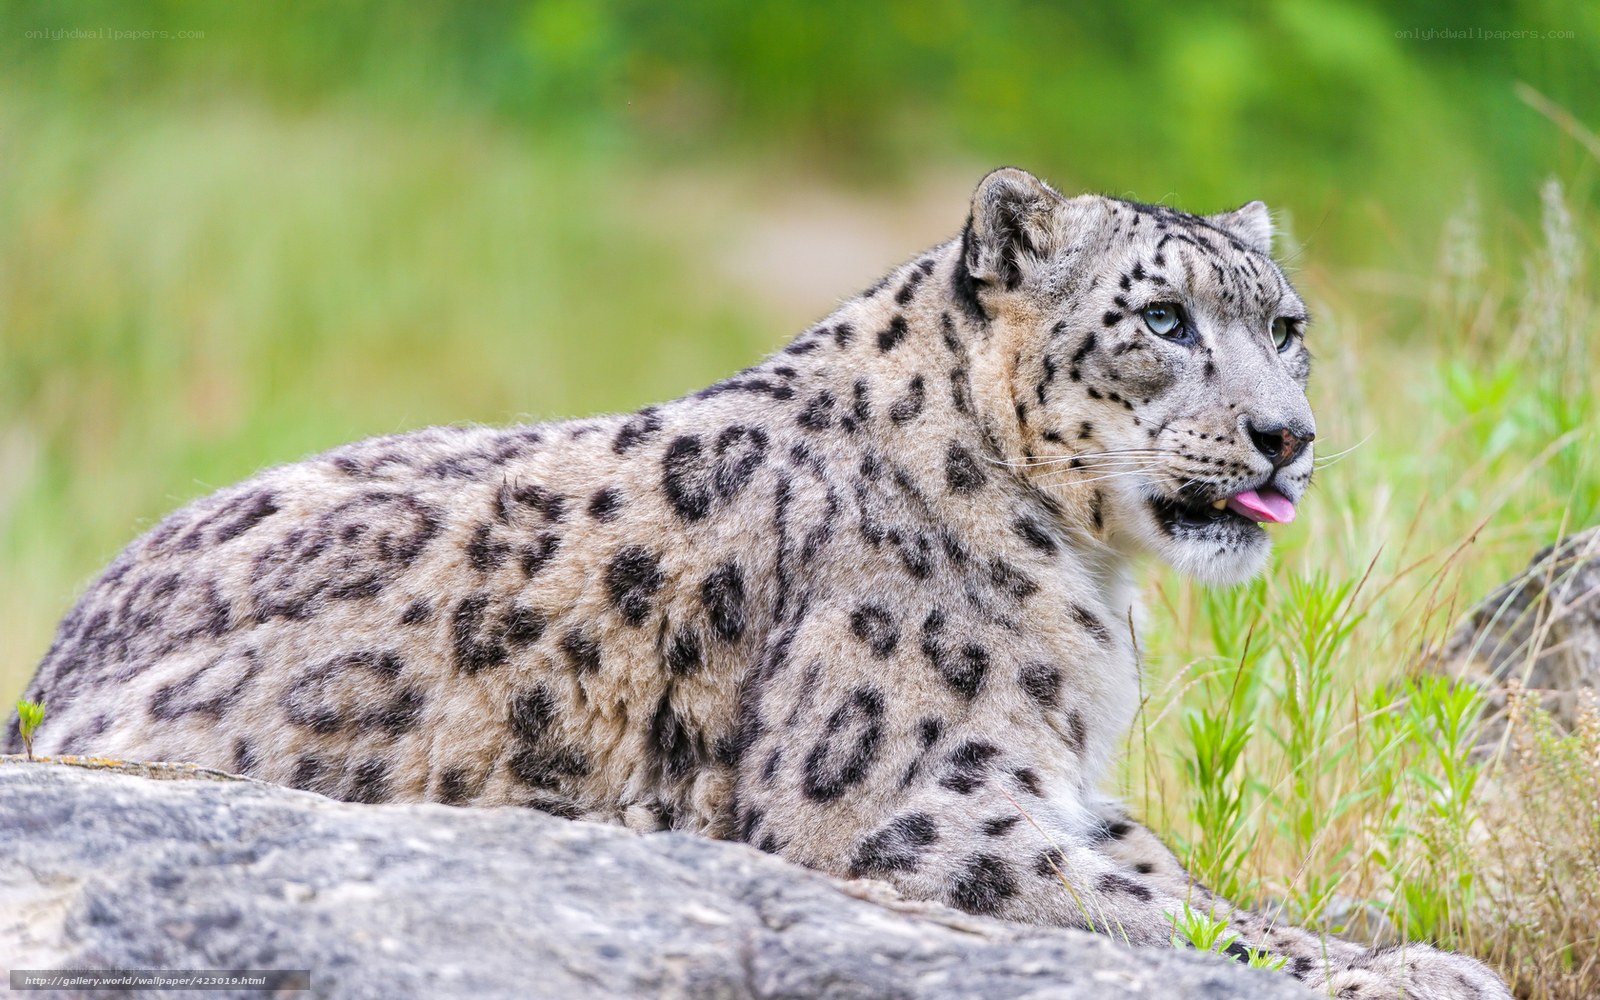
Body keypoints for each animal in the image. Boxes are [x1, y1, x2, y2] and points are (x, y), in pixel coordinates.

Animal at [9, 168, 1508, 998]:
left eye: (1285, 325)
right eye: (1160, 318)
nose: (1285, 435)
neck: (1092, 595)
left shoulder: (1067, 796)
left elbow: (1205, 890)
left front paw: (1397, 942)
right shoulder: (924, 809)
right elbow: (1186, 923)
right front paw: (1416, 970)